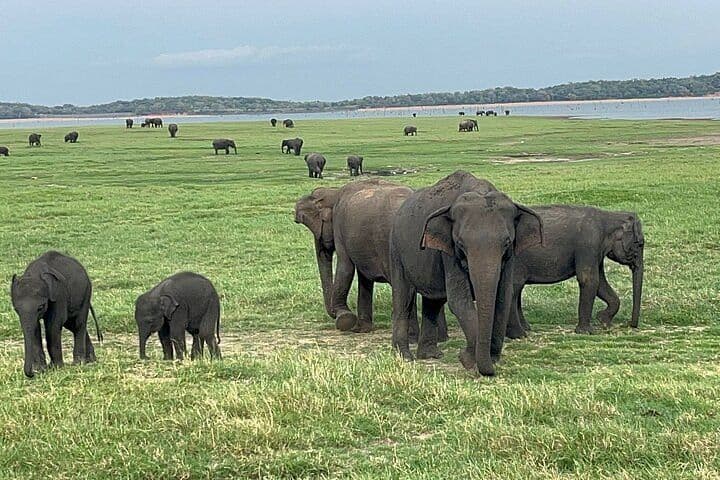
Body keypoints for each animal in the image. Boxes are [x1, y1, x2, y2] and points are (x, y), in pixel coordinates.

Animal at [294, 180, 448, 339]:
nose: (335, 315)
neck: (334, 192)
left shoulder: (339, 227)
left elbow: (346, 267)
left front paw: (345, 319)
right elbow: (364, 278)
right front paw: (361, 329)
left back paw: (413, 338)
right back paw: (441, 338)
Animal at [389, 171, 543, 375]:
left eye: (507, 243)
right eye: (461, 244)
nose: (462, 354)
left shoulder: (510, 256)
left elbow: (503, 297)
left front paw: (487, 359)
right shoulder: (449, 252)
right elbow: (459, 301)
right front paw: (469, 361)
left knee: (433, 302)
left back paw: (430, 356)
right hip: (396, 251)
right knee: (403, 298)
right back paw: (405, 356)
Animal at [506, 206, 644, 338]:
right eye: (640, 244)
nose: (629, 324)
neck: (610, 215)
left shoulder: (596, 251)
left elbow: (600, 283)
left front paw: (603, 321)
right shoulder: (589, 244)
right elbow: (589, 280)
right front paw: (586, 332)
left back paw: (526, 328)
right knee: (515, 288)